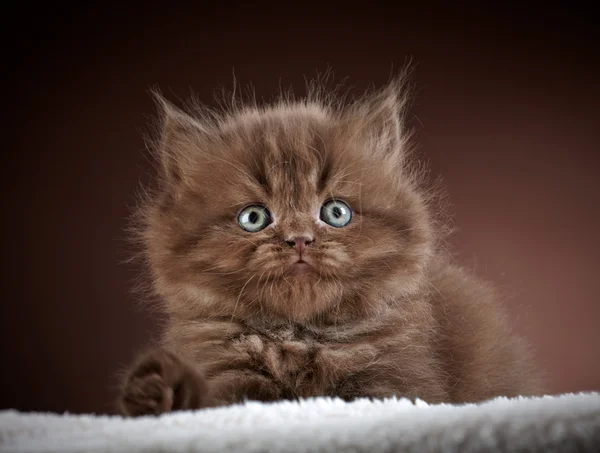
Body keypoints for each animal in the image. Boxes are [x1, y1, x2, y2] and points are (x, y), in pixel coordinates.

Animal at [116, 72, 540, 414]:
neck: (298, 338)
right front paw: (160, 392)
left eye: (335, 213)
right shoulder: (223, 371)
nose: (300, 239)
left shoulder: (398, 379)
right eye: (254, 218)